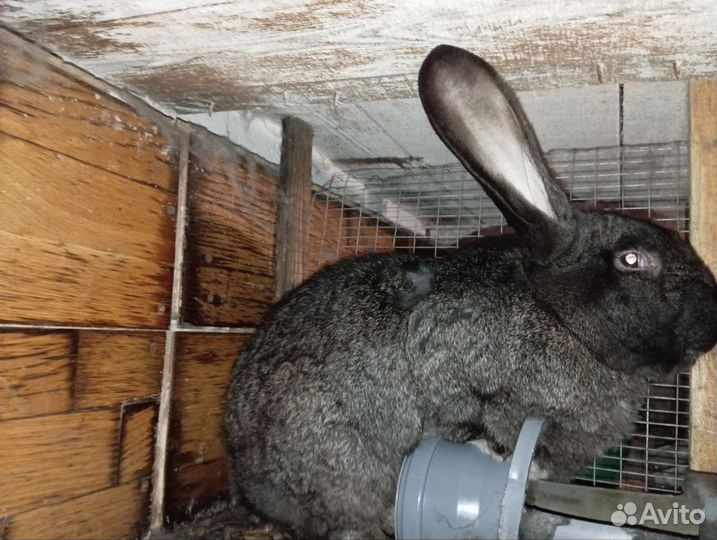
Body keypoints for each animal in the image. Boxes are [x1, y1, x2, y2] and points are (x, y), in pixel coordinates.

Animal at [224, 44, 717, 539]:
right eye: (632, 260)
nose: (712, 319)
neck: (558, 318)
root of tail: (247, 483)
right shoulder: (454, 375)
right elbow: (469, 419)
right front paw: (500, 463)